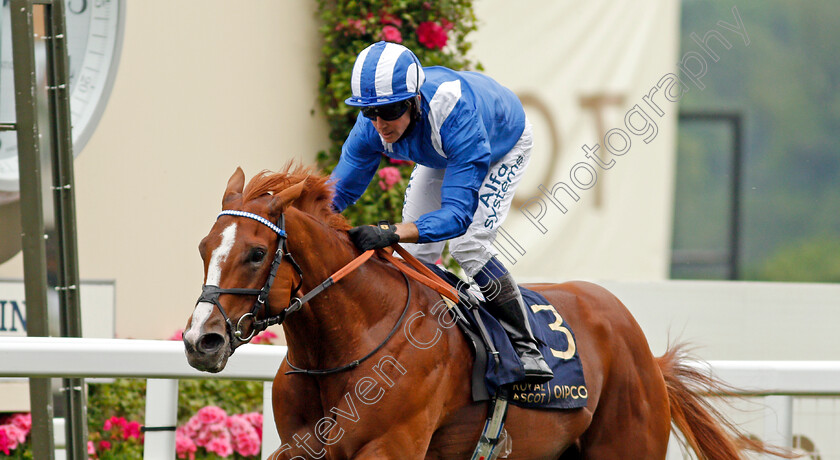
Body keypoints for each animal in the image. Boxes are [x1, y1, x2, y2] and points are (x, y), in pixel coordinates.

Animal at [184, 166, 780, 460]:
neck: (348, 340)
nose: (200, 340)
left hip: (625, 446)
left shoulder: (390, 447)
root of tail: (643, 351)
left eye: (256, 253)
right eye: (203, 246)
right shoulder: (300, 447)